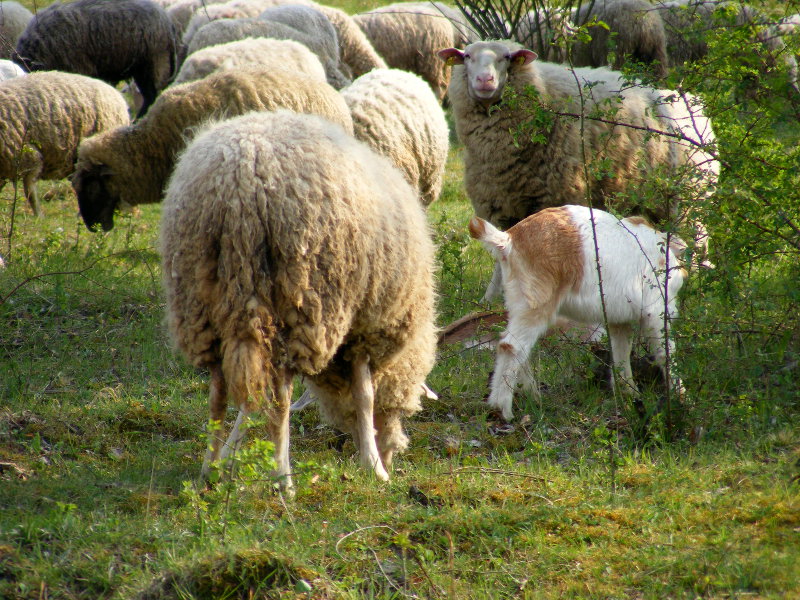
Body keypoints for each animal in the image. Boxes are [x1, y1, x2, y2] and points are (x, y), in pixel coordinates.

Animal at [160, 109, 437, 489]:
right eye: (403, 408)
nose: (394, 454)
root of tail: (240, 180)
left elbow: (250, 401)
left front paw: (230, 456)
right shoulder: (364, 329)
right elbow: (365, 396)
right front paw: (373, 465)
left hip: (200, 303)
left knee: (218, 391)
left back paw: (208, 470)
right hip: (304, 300)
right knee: (280, 397)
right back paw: (283, 478)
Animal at [438, 40, 718, 299]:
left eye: (506, 58)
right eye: (467, 56)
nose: (485, 80)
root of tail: (695, 104)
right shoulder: (500, 201)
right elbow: (500, 255)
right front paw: (491, 298)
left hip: (692, 199)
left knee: (698, 245)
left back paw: (701, 288)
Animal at [469, 205, 687, 421]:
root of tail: (508, 239)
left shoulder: (618, 320)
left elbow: (621, 354)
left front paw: (629, 395)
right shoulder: (656, 312)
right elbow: (666, 354)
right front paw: (682, 398)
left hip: (518, 301)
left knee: (516, 347)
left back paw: (532, 396)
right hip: (536, 303)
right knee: (511, 346)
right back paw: (503, 410)